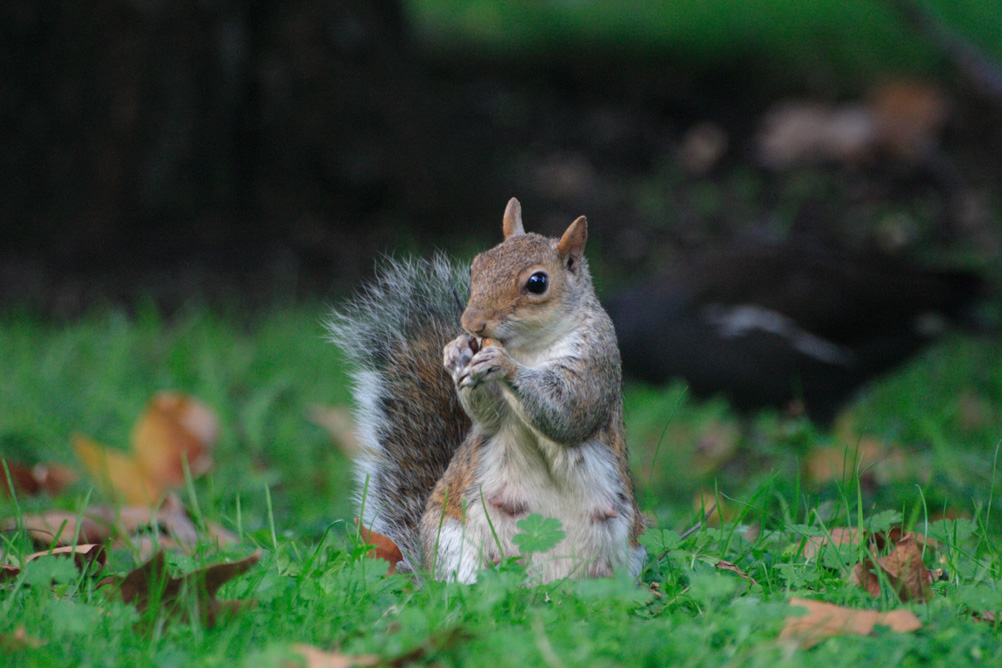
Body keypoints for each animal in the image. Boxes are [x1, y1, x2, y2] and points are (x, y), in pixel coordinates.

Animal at [327, 198, 644, 582]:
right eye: (476, 265)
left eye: (538, 282)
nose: (471, 324)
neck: (528, 347)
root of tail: (543, 586)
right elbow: (489, 416)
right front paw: (456, 353)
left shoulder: (597, 359)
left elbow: (570, 410)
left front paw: (503, 364)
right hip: (453, 541)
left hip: (624, 559)